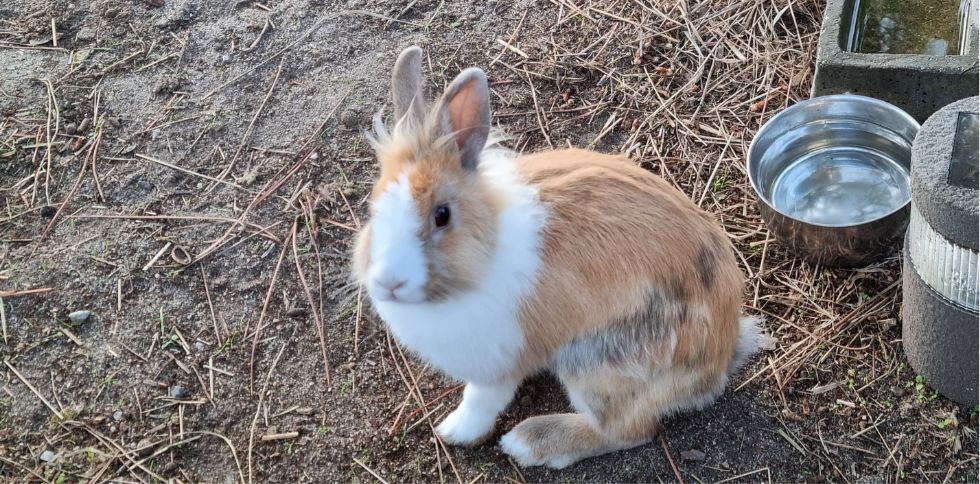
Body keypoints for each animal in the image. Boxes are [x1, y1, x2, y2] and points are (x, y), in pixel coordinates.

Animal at [352, 45, 770, 469]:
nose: (388, 282)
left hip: (595, 362)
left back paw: (529, 441)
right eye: (373, 207)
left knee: (629, 430)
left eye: (442, 215)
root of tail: (721, 355)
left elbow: (481, 400)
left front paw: (455, 431)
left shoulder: (500, 362)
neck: (485, 252)